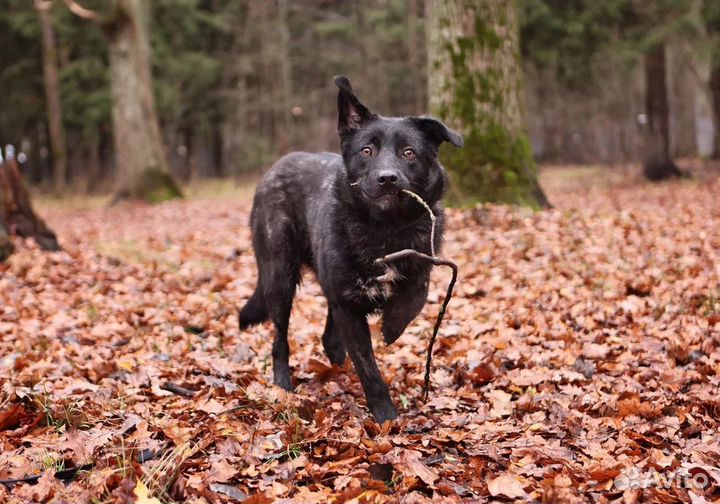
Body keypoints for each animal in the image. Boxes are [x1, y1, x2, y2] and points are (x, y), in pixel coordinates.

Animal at [239, 75, 464, 422]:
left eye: (409, 152)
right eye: (366, 150)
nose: (388, 178)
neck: (385, 230)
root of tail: (275, 168)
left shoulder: (418, 271)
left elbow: (412, 299)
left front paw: (391, 326)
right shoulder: (349, 307)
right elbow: (368, 367)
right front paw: (385, 415)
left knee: (329, 337)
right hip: (279, 277)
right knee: (280, 338)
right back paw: (283, 383)